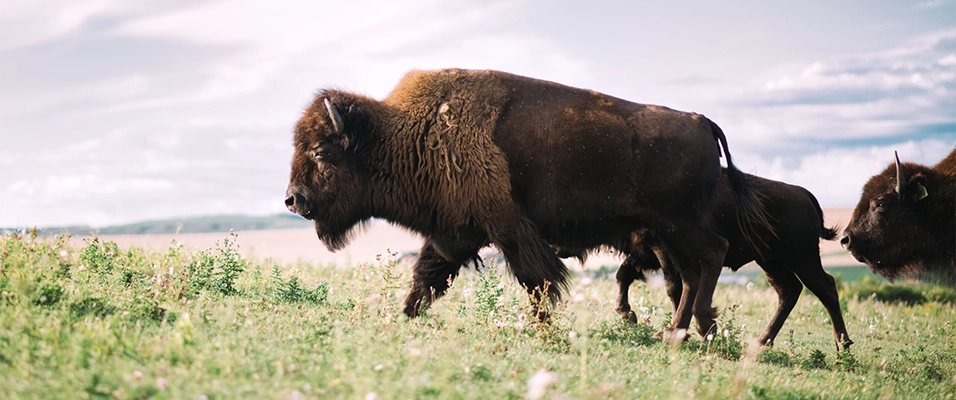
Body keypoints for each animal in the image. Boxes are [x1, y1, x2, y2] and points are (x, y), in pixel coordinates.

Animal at [282, 69, 768, 338]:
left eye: (322, 151)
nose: (292, 199)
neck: (409, 132)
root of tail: (701, 121)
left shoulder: (509, 229)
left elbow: (537, 281)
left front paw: (542, 327)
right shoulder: (453, 234)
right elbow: (426, 278)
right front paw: (404, 316)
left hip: (679, 226)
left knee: (711, 256)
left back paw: (693, 328)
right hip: (669, 235)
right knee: (690, 273)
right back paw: (684, 330)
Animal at [588, 171, 856, 350]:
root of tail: (804, 194)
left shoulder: (663, 251)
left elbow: (674, 286)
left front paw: (676, 329)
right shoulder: (644, 253)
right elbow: (624, 274)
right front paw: (628, 314)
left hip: (802, 258)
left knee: (825, 287)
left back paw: (842, 344)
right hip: (769, 261)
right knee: (788, 290)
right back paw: (761, 342)